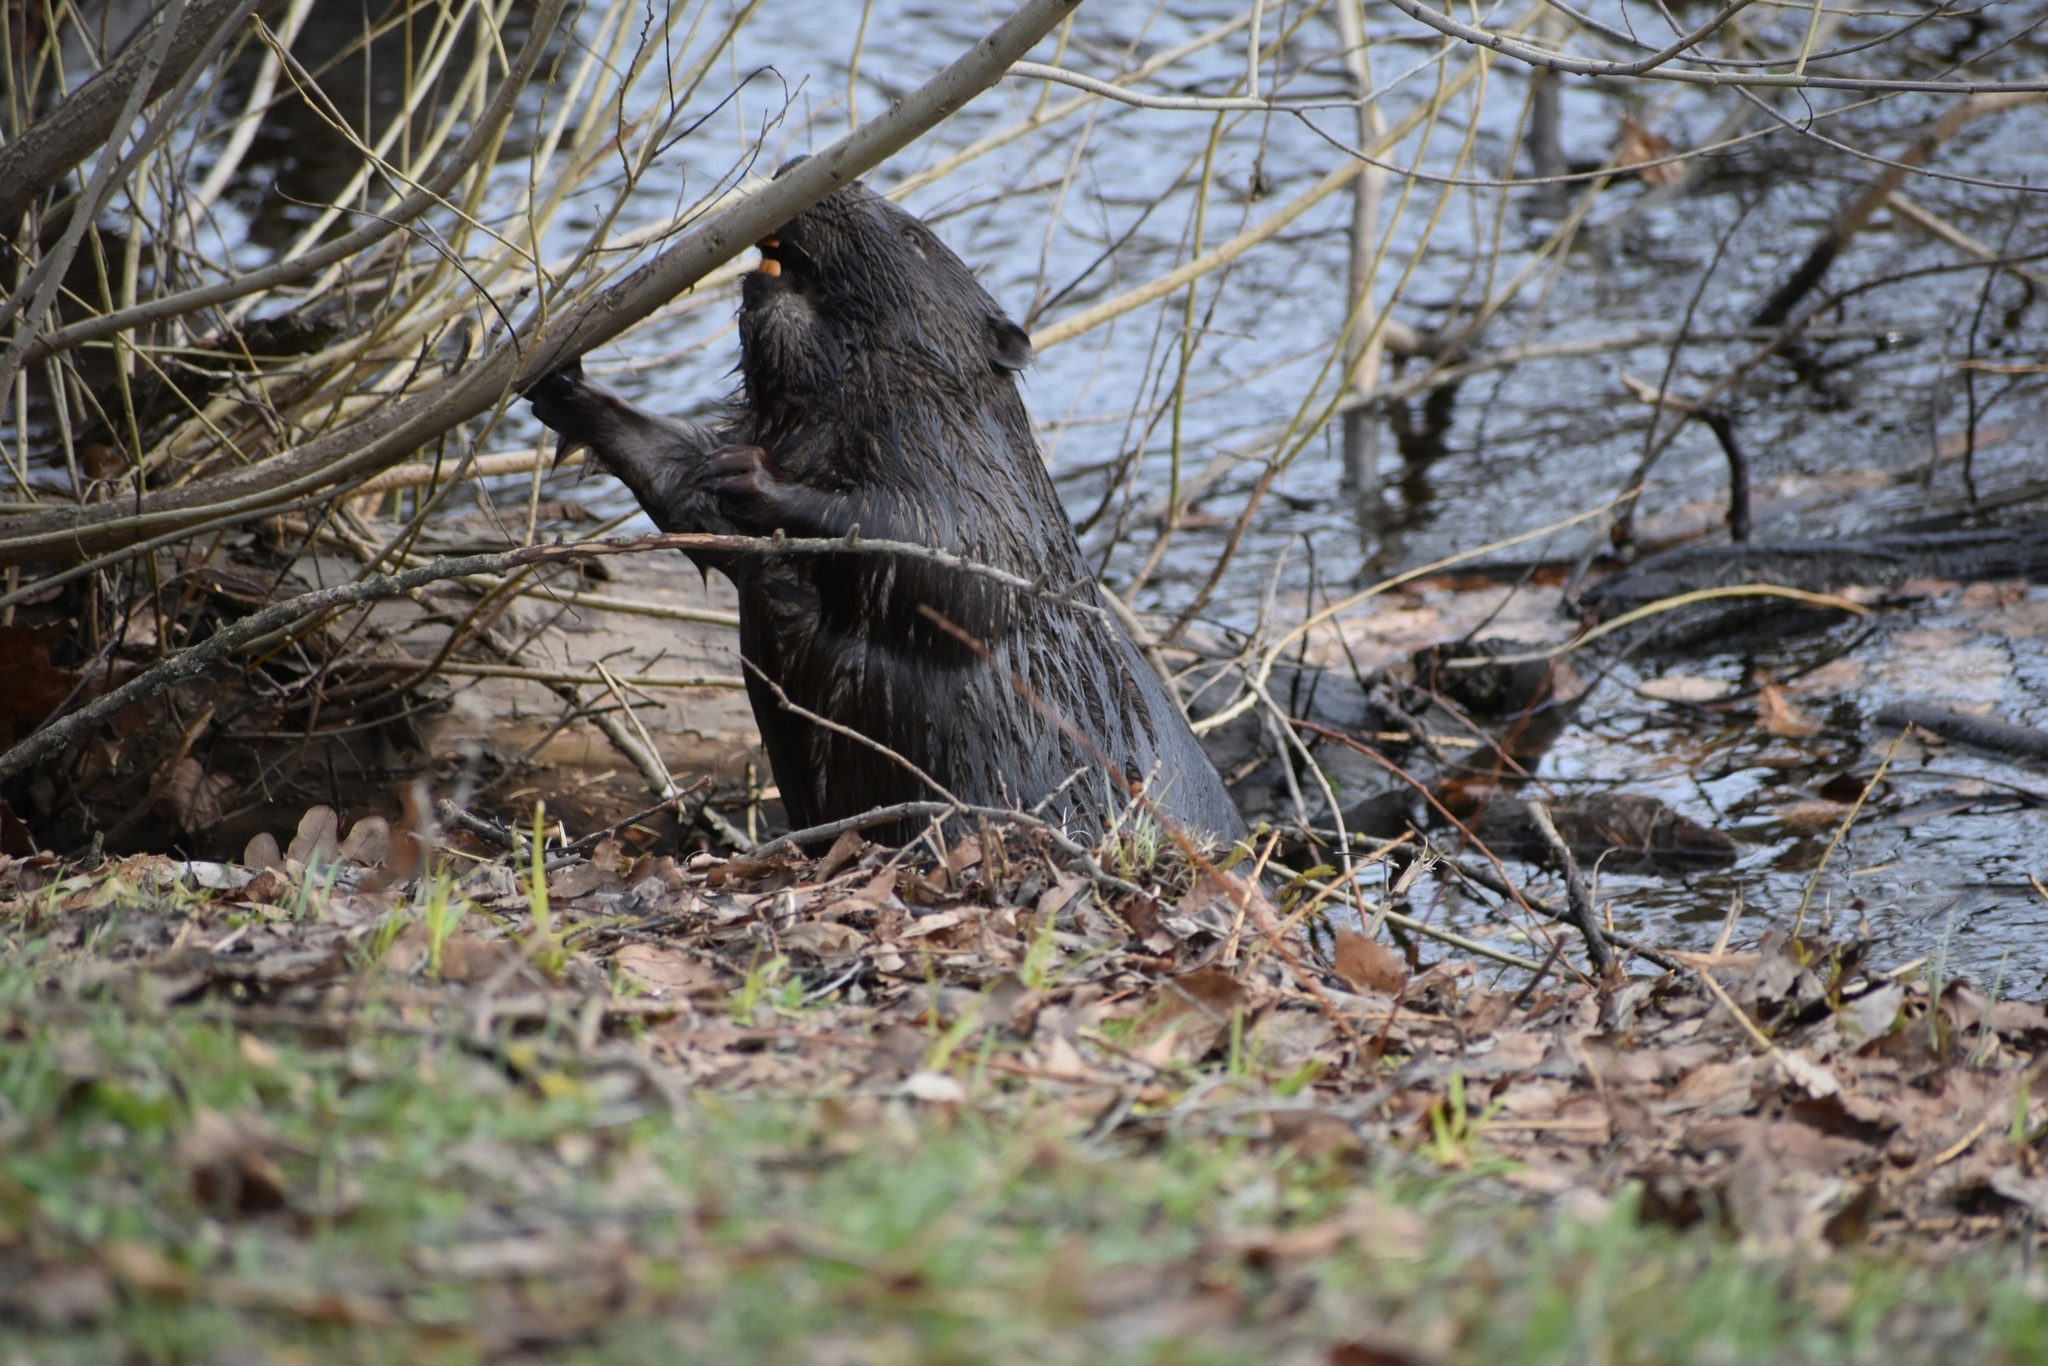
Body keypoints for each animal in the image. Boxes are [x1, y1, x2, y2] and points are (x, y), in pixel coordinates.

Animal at [524, 181, 1245, 843]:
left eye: (911, 235)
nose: (795, 167)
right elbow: (681, 483)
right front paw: (560, 379)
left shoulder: (994, 501)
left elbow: (949, 560)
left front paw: (751, 475)